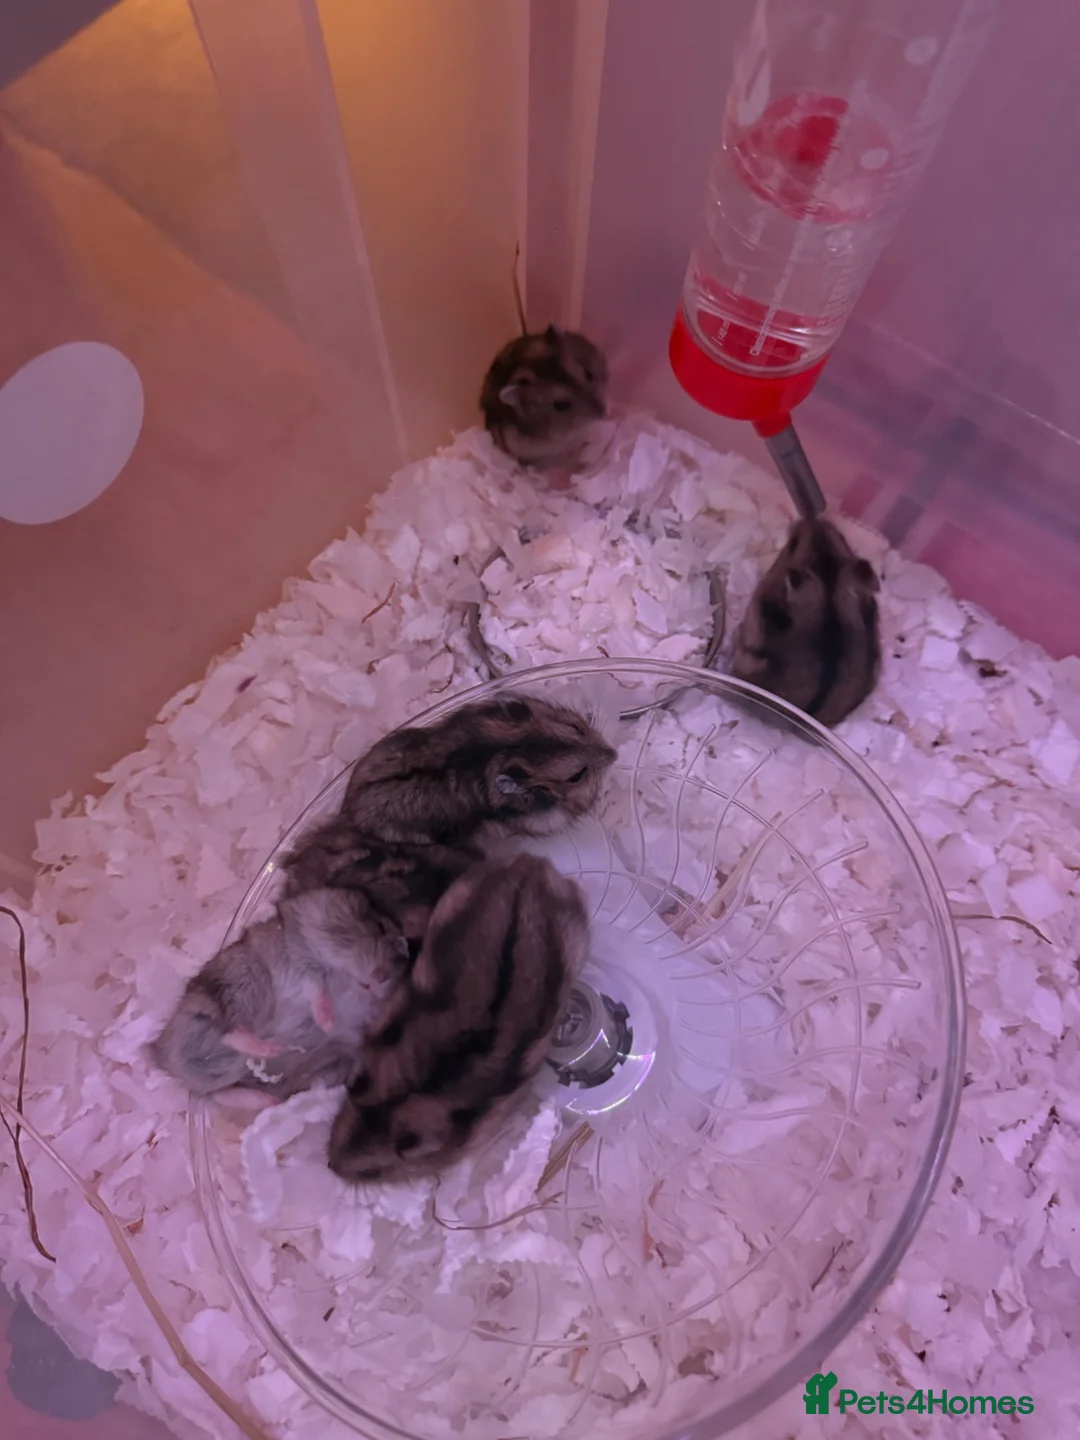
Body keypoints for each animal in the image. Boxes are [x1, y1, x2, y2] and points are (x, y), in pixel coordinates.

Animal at [149, 888, 400, 1102]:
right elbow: (316, 990)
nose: (382, 977)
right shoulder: (302, 965)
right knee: (227, 1030)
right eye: (379, 926)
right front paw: (327, 1022)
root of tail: (161, 1057)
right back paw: (267, 1048)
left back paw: (266, 1096)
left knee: (221, 1093)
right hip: (241, 986)